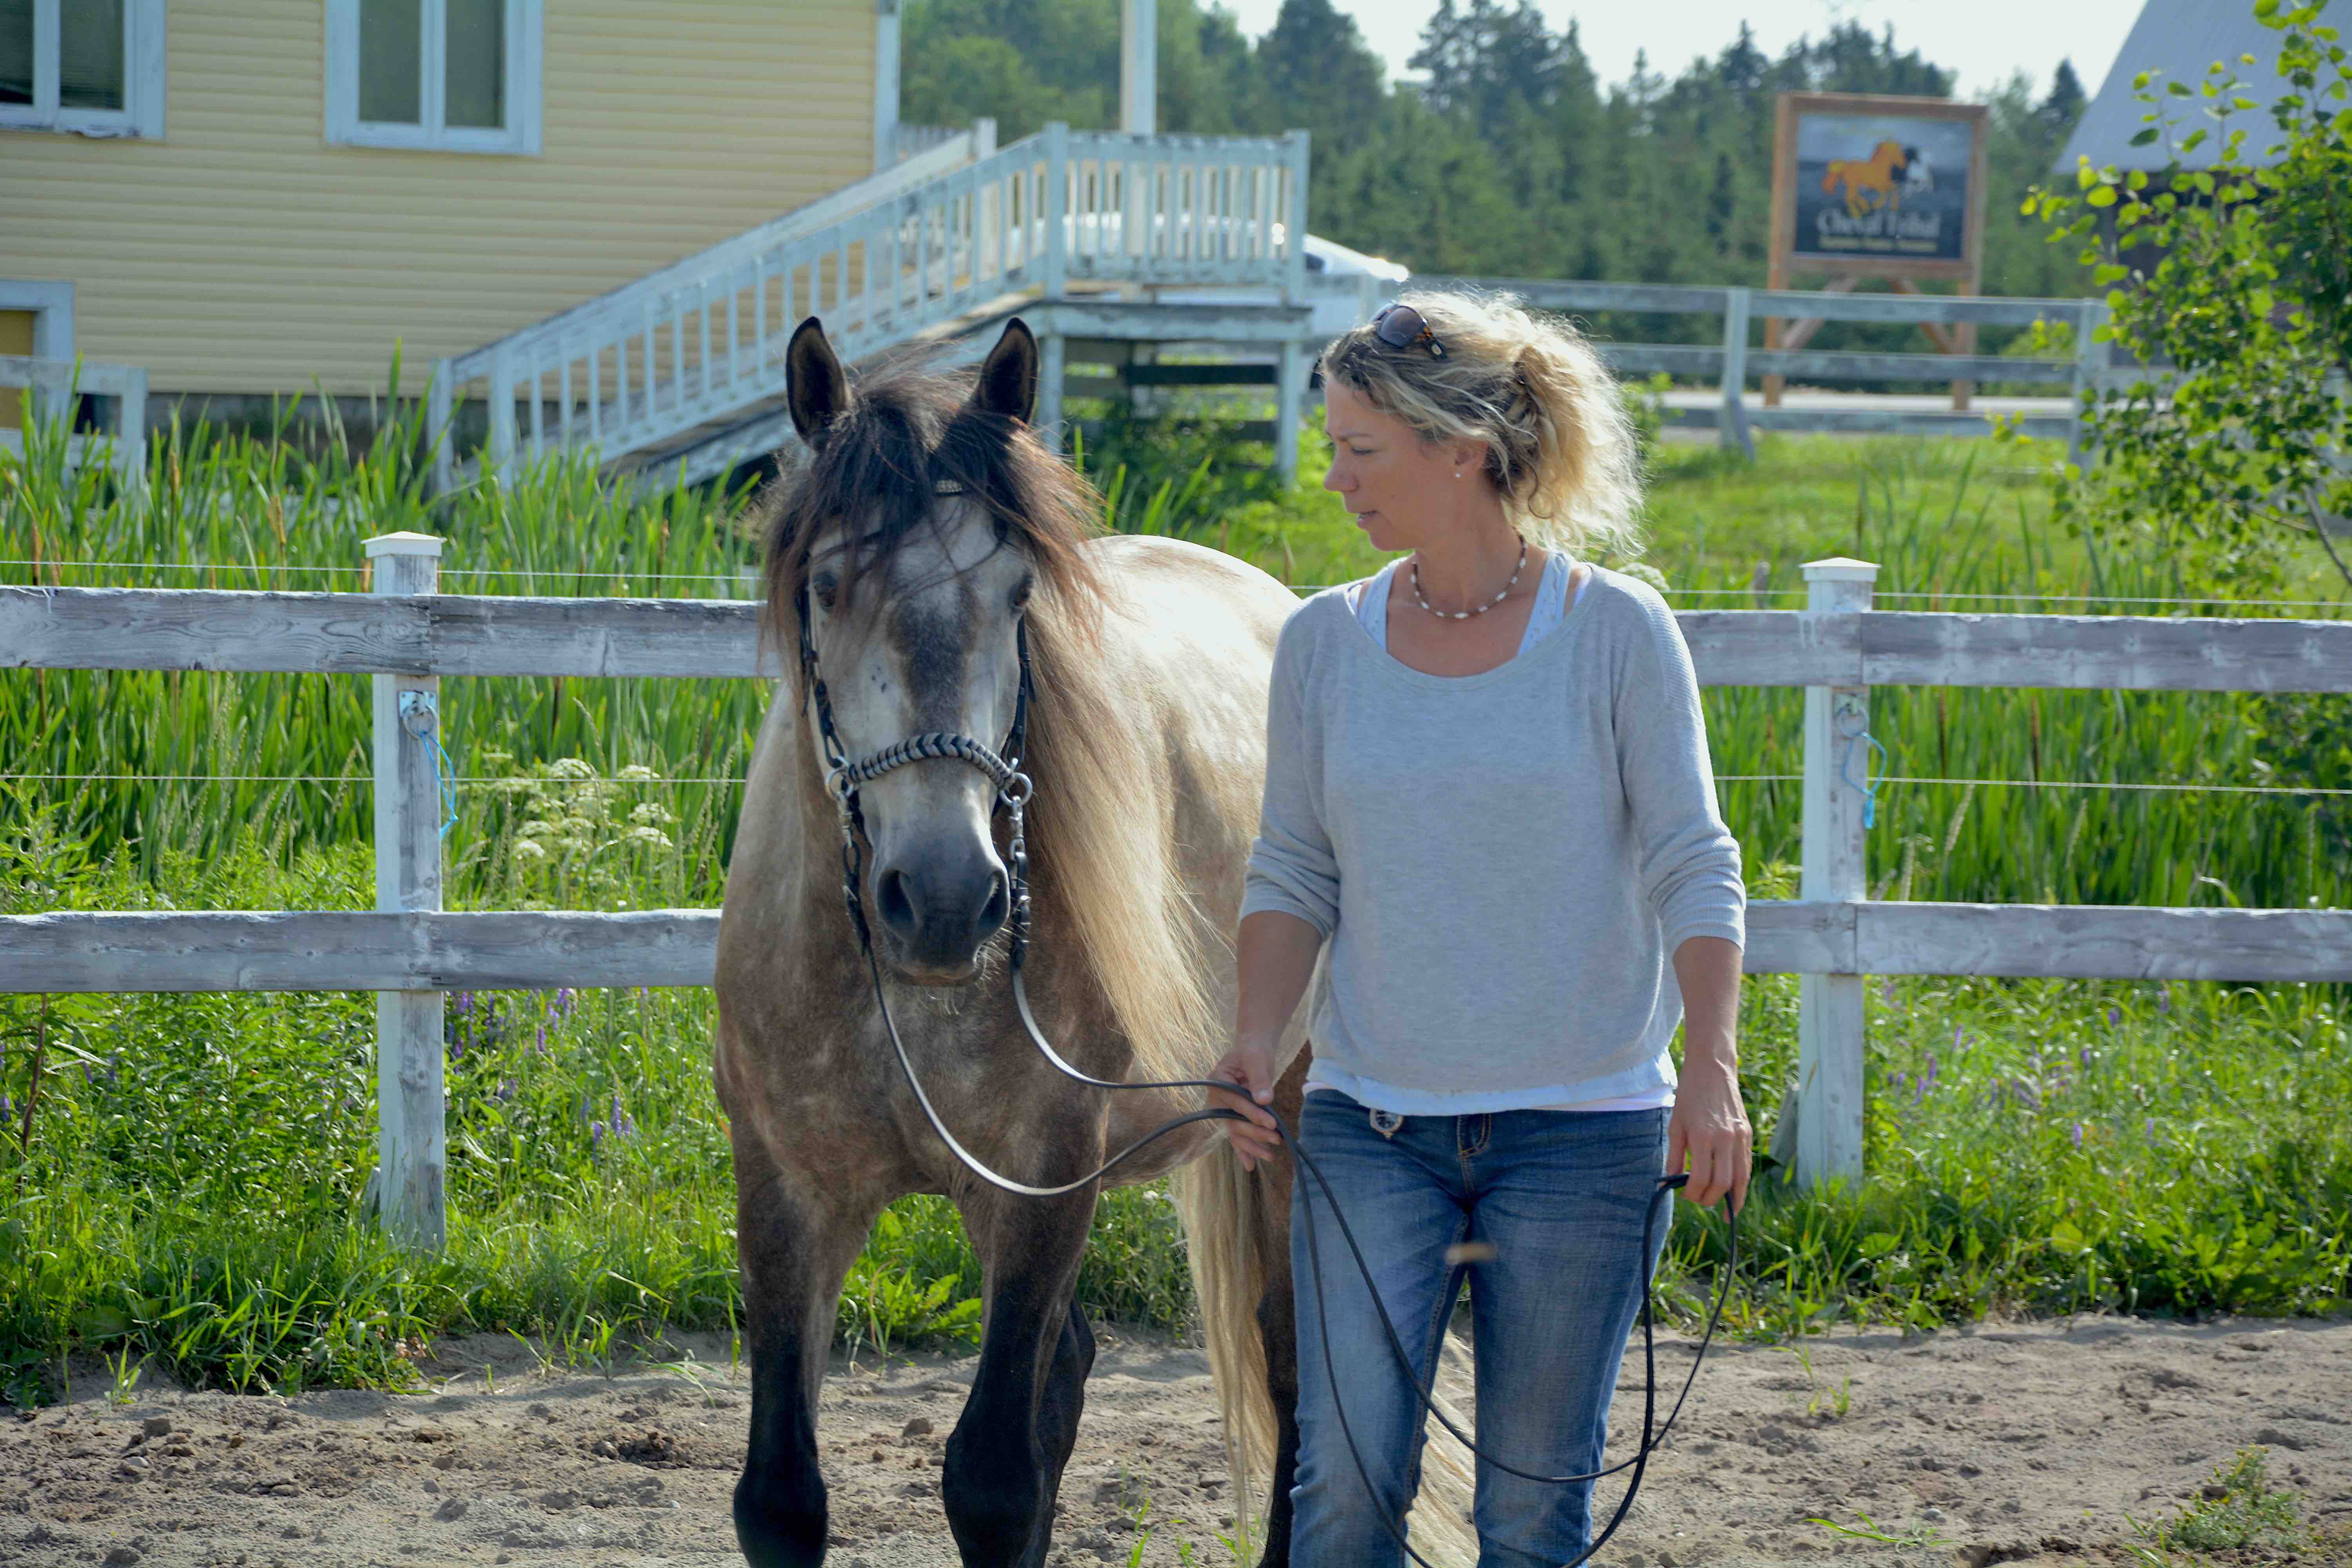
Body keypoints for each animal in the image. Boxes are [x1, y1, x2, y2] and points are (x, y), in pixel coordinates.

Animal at [712, 316, 1318, 1568]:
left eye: (1016, 591)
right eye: (827, 585)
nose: (946, 899)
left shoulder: (1043, 1180)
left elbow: (992, 1475)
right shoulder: (787, 1189)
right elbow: (782, 1494)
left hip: (1283, 1121)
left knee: (1291, 1371)